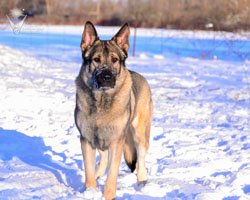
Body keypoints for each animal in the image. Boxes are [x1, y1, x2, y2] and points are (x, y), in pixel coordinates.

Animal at [73, 21, 152, 199]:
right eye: (96, 59)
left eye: (115, 60)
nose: (107, 77)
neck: (101, 102)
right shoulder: (86, 139)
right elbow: (88, 171)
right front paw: (90, 191)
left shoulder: (116, 142)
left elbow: (112, 176)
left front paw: (107, 196)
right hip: (101, 139)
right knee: (102, 159)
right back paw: (97, 176)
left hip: (139, 133)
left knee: (141, 159)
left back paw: (142, 182)